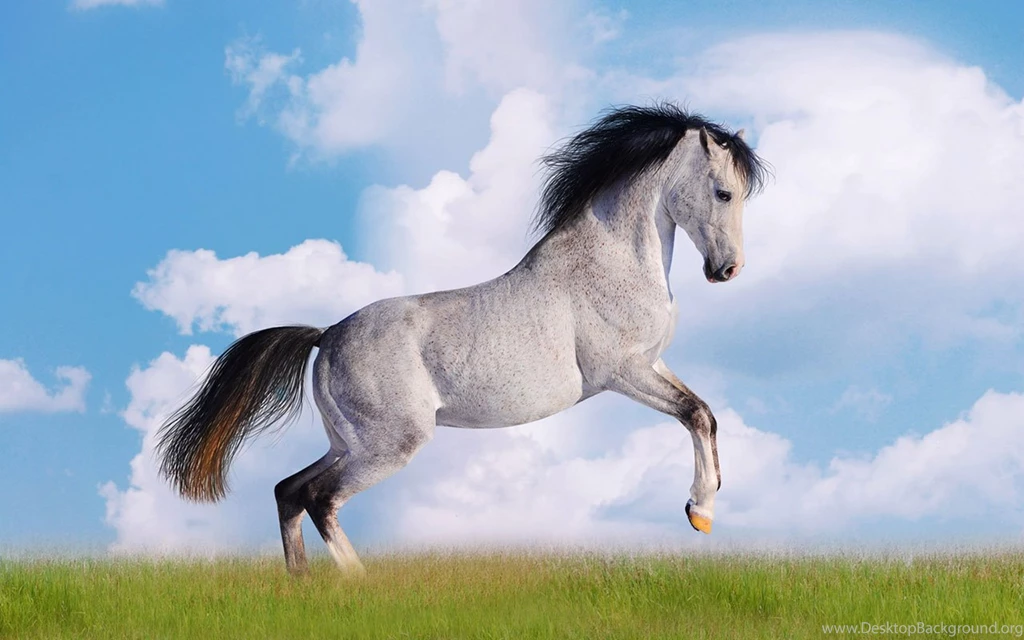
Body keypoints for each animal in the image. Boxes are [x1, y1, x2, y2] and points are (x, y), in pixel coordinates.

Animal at [156, 103, 769, 575]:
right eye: (723, 193)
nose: (727, 270)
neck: (612, 260)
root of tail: (326, 337)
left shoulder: (651, 365)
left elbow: (706, 413)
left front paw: (704, 510)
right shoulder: (621, 372)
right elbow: (693, 414)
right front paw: (700, 511)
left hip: (349, 441)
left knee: (289, 490)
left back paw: (302, 585)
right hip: (390, 444)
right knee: (318, 498)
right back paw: (357, 587)